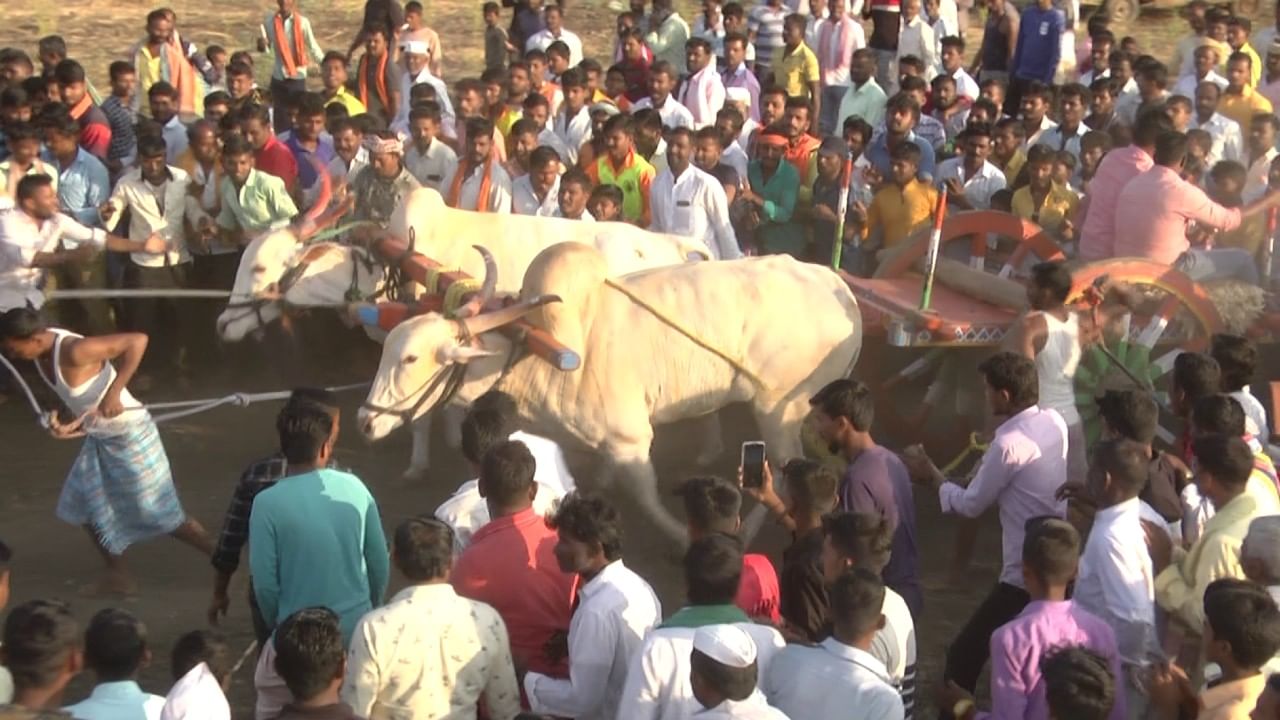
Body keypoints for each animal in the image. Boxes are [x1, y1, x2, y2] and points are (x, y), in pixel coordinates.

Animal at [355, 242, 865, 538]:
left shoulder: (630, 441)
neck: (534, 346)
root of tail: (838, 288)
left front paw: (683, 536)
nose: (365, 421)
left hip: (780, 410)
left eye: (410, 359)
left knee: (784, 468)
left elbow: (648, 497)